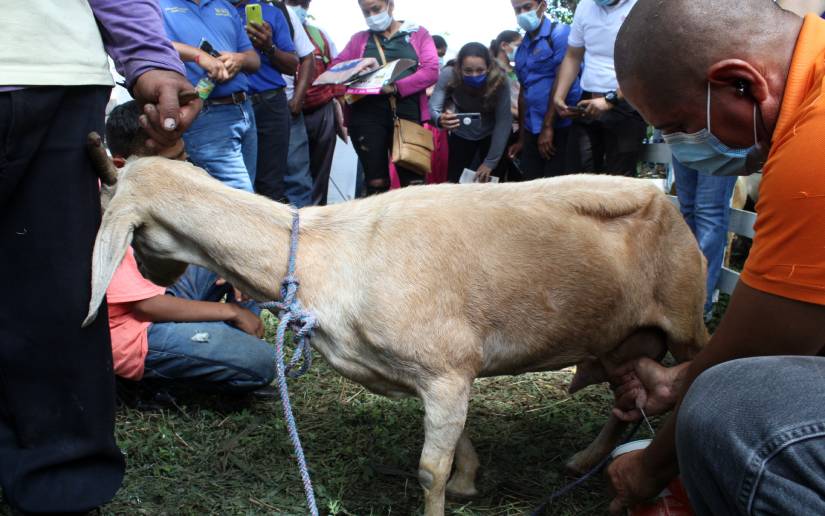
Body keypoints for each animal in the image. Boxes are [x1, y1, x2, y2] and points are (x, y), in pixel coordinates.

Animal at [84, 147, 707, 516]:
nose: (153, 277)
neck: (328, 252)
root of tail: (662, 194)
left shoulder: (446, 371)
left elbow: (430, 469)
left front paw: (450, 490)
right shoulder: (442, 377)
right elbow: (455, 443)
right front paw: (468, 480)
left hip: (685, 320)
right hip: (619, 337)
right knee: (624, 398)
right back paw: (586, 460)